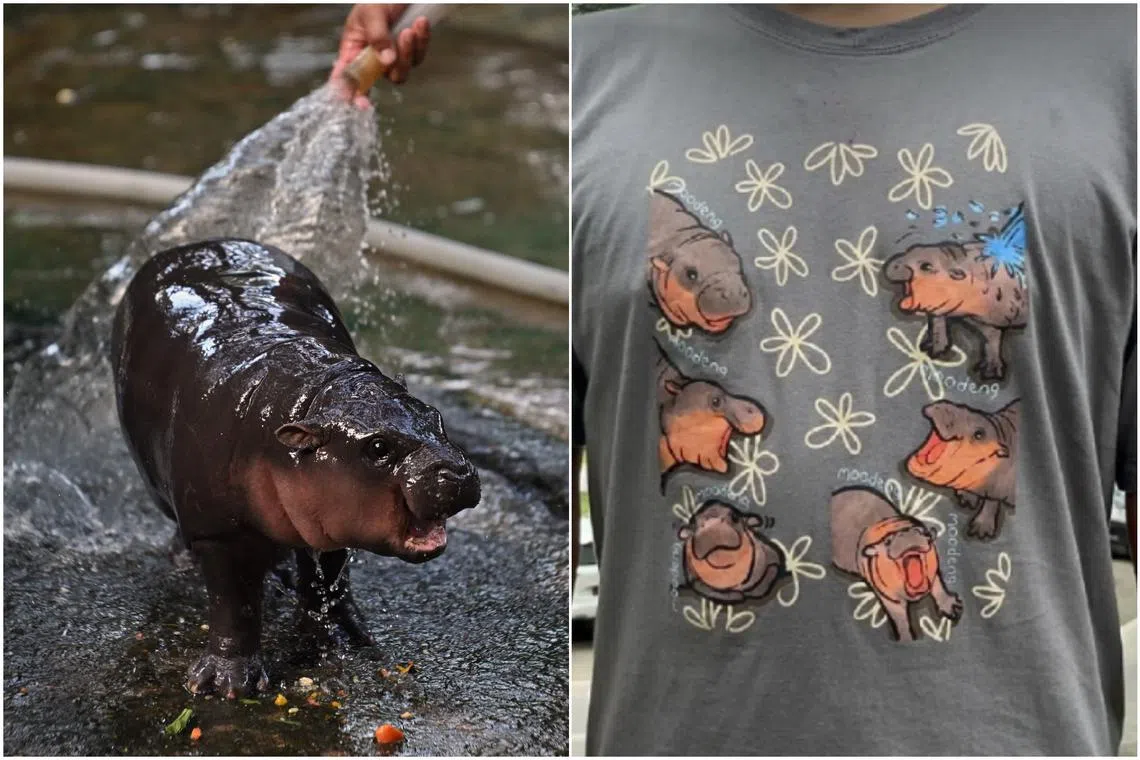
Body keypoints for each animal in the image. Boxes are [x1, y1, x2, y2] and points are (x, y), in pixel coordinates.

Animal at [110, 239, 480, 698]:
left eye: (435, 416)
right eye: (378, 447)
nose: (458, 472)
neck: (310, 395)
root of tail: (194, 245)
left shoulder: (332, 518)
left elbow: (331, 578)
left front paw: (345, 639)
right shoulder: (219, 531)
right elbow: (234, 602)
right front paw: (227, 684)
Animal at [830, 486, 962, 642]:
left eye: (924, 532)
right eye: (888, 542)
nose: (907, 534)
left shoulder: (933, 572)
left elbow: (939, 587)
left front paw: (951, 606)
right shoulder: (890, 598)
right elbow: (900, 619)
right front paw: (906, 638)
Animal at [884, 205, 1029, 381]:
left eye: (926, 266)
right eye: (912, 248)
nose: (893, 265)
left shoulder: (991, 317)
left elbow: (992, 340)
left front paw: (990, 372)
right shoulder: (942, 309)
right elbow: (938, 326)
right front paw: (932, 348)